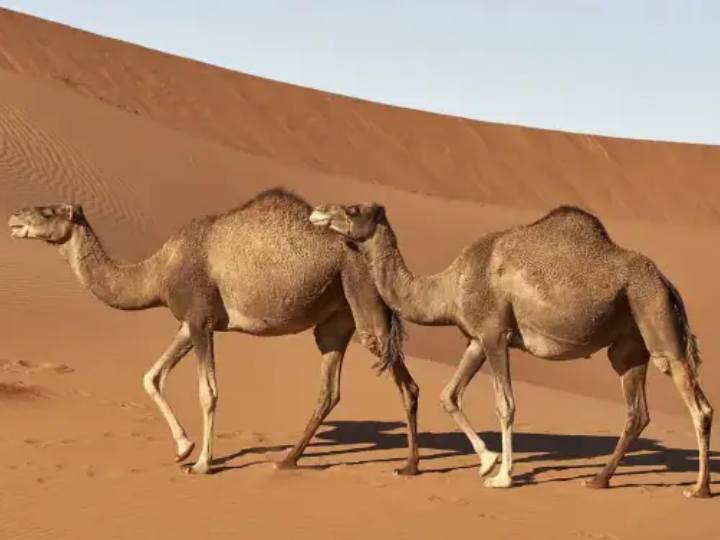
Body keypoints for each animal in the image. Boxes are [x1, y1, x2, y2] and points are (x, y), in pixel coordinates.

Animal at [7, 188, 420, 476]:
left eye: (48, 210)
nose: (14, 217)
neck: (157, 272)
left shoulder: (201, 320)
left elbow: (208, 392)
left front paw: (203, 463)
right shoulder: (189, 322)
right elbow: (151, 376)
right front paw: (183, 448)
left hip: (364, 301)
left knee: (404, 381)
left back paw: (411, 466)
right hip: (337, 318)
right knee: (329, 389)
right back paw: (287, 460)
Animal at [309, 202, 713, 498]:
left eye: (353, 209)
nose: (318, 212)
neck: (448, 287)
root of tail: (667, 283)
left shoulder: (494, 333)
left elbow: (505, 405)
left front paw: (502, 476)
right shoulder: (475, 339)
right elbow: (448, 395)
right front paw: (487, 461)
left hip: (655, 317)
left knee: (698, 405)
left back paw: (699, 488)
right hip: (629, 342)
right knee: (637, 411)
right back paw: (599, 479)